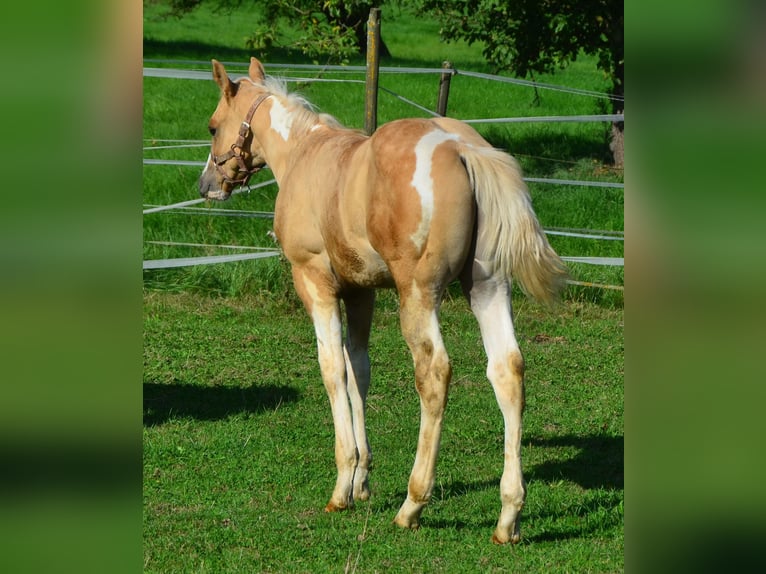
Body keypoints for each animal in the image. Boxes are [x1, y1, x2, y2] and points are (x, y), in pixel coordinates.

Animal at [198, 59, 568, 548]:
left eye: (212, 126)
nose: (207, 185)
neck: (303, 155)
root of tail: (464, 149)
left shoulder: (315, 282)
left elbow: (333, 370)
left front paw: (342, 487)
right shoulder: (362, 290)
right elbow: (360, 372)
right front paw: (362, 480)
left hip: (418, 294)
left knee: (435, 372)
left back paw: (413, 504)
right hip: (486, 286)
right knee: (508, 369)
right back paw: (508, 517)